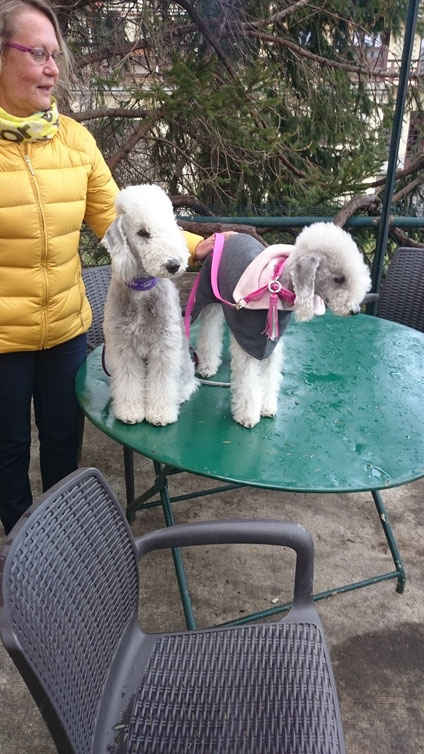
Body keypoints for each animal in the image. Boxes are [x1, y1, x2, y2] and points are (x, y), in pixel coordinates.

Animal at [102, 184, 198, 424]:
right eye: (143, 232)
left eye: (171, 224)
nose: (174, 264)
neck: (141, 291)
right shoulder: (123, 347)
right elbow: (128, 380)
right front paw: (129, 411)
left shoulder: (164, 346)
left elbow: (162, 381)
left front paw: (160, 413)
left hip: (185, 362)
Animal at [189, 220, 372, 426]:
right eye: (339, 278)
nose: (355, 310)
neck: (276, 287)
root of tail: (229, 235)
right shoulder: (249, 342)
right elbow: (248, 380)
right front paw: (247, 415)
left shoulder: (271, 343)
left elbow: (268, 376)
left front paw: (267, 407)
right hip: (209, 298)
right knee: (209, 332)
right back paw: (207, 366)